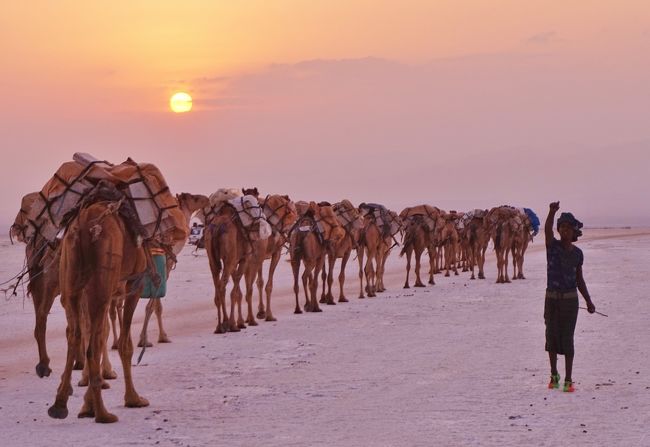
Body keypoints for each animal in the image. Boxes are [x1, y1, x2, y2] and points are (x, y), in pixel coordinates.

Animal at [48, 182, 149, 424]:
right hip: (102, 279)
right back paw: (103, 414)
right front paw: (133, 399)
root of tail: (85, 224)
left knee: (75, 334)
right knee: (91, 344)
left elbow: (99, 333)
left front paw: (87, 406)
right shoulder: (134, 285)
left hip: (71, 278)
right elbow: (124, 344)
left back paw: (60, 405)